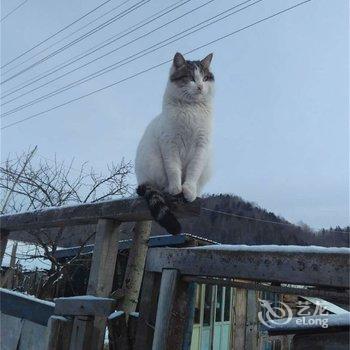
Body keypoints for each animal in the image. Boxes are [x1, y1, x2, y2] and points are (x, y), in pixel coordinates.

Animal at [135, 52, 215, 234]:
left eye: (205, 78)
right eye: (191, 78)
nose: (200, 86)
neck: (191, 110)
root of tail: (141, 180)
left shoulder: (201, 146)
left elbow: (193, 170)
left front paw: (189, 190)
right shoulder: (170, 143)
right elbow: (173, 169)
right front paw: (176, 188)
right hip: (153, 165)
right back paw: (166, 189)